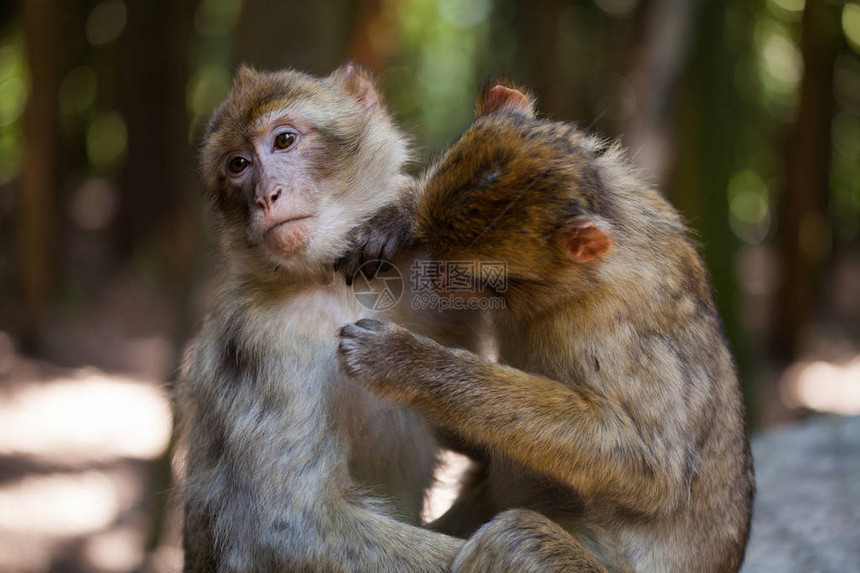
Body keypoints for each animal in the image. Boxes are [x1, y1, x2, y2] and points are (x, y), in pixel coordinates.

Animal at [176, 65, 470, 568]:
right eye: (237, 166)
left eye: (284, 140)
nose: (266, 197)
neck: (331, 280)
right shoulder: (264, 342)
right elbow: (290, 528)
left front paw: (400, 213)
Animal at [336, 81, 752, 572]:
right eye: (433, 249)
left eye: (473, 275)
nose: (436, 276)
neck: (581, 280)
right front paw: (394, 219)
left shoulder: (600, 330)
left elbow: (648, 468)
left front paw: (409, 365)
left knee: (517, 537)